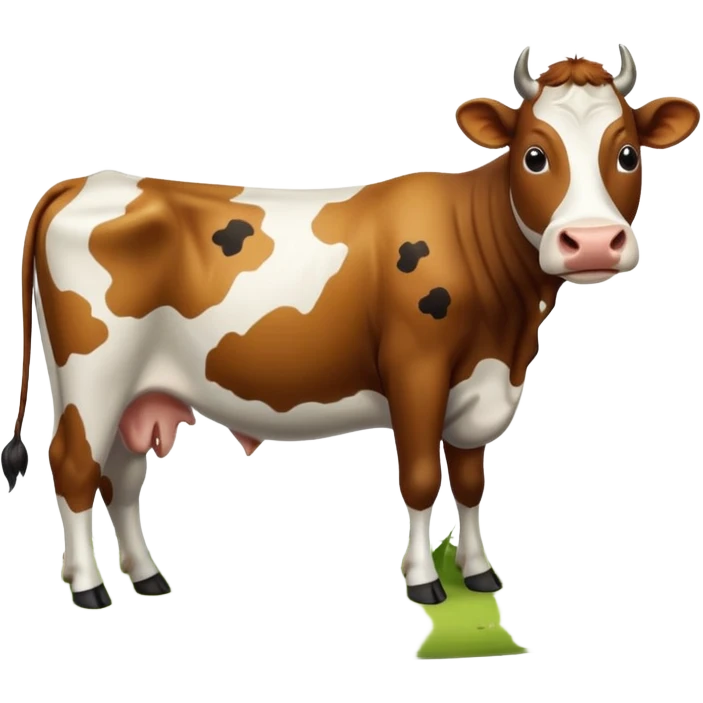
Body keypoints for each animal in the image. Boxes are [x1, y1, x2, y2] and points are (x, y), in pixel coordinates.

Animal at [2, 45, 699, 612]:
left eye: (627, 153)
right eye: (534, 155)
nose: (592, 243)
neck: (510, 330)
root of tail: (85, 181)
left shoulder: (479, 381)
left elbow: (470, 482)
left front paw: (478, 574)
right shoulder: (416, 372)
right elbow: (419, 478)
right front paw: (424, 582)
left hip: (134, 391)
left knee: (120, 477)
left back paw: (146, 576)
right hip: (93, 377)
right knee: (73, 466)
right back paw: (89, 588)